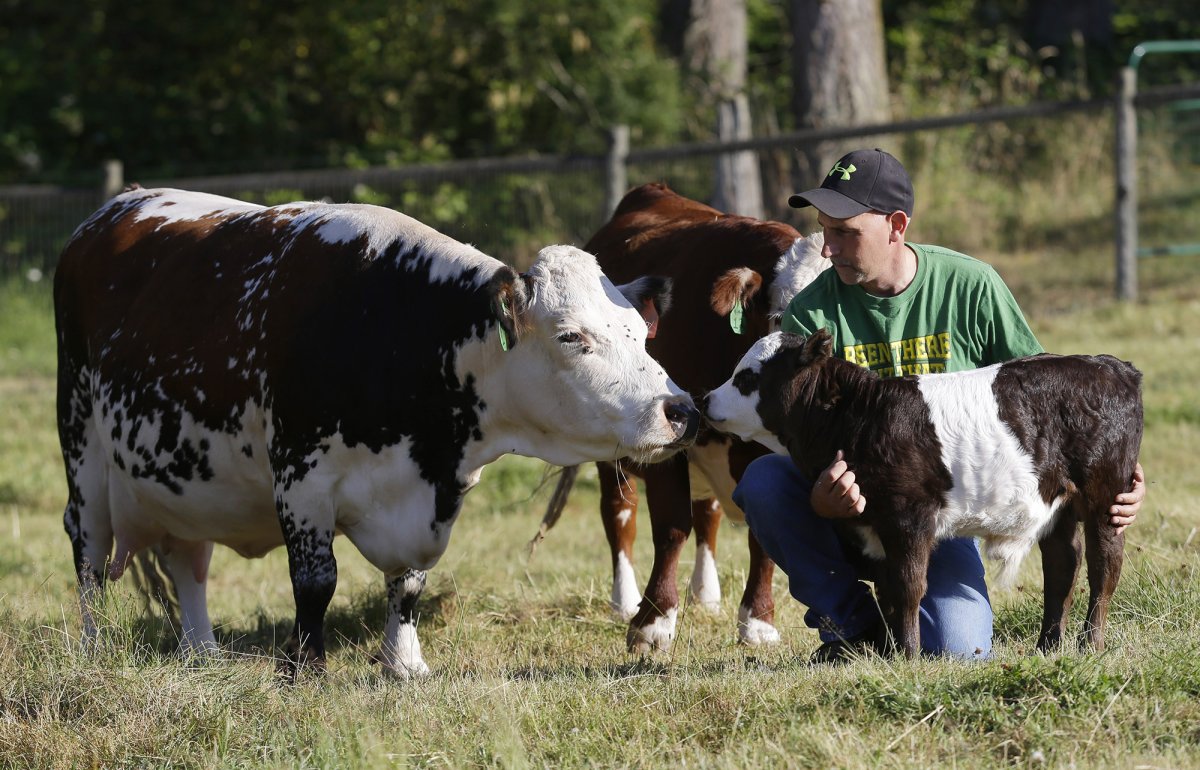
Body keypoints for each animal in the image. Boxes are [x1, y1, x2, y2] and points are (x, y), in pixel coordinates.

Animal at [54, 186, 700, 678]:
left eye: (640, 333)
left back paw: (203, 652)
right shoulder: (302, 478)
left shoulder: (431, 495)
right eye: (571, 336)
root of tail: (113, 210)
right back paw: (93, 650)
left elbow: (409, 582)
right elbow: (316, 581)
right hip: (83, 449)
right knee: (89, 558)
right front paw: (305, 668)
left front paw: (404, 662)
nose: (680, 409)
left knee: (188, 560)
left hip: (186, 486)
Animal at [532, 183, 826, 652]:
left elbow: (760, 533)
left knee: (707, 513)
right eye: (782, 318)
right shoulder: (667, 433)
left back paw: (705, 594)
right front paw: (653, 621)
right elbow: (671, 527)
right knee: (620, 513)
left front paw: (758, 620)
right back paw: (624, 601)